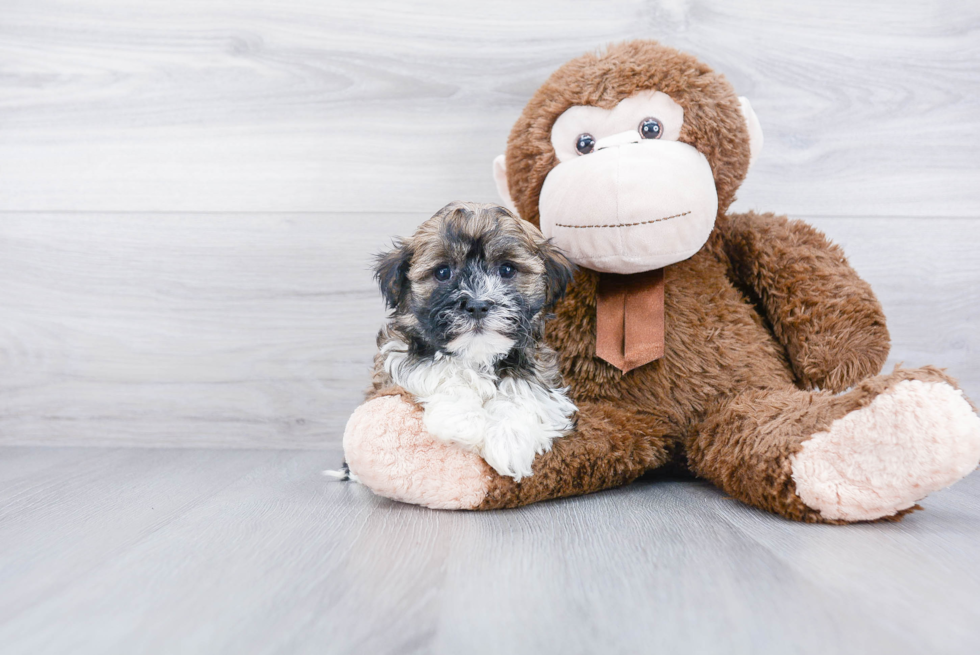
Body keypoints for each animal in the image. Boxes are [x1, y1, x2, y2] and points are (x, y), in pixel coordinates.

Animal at [372, 202, 580, 480]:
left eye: (507, 269)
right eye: (443, 272)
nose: (478, 305)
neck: (477, 355)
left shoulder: (536, 362)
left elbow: (524, 390)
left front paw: (509, 439)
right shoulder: (398, 353)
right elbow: (439, 370)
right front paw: (462, 421)